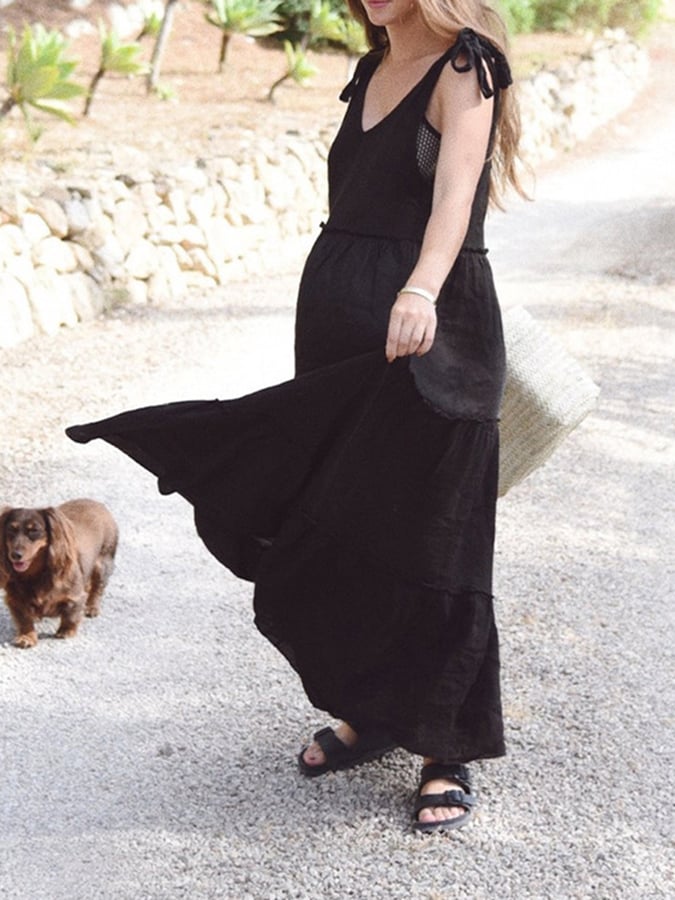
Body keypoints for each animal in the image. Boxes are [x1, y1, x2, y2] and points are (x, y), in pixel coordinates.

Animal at [0, 499, 118, 648]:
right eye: (11, 529)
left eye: (34, 530)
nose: (15, 555)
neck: (36, 575)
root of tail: (97, 503)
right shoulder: (15, 600)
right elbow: (24, 620)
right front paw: (26, 637)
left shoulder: (74, 596)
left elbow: (71, 614)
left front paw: (66, 631)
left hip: (102, 563)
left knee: (98, 588)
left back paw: (91, 607)